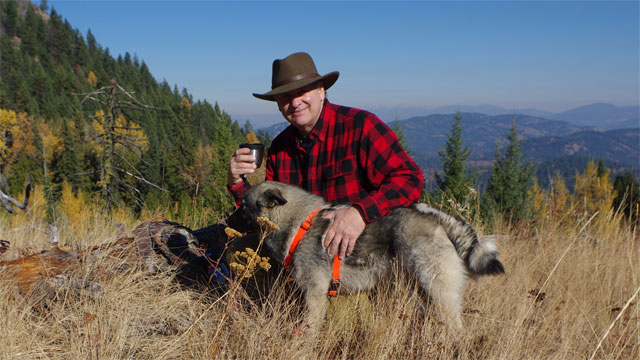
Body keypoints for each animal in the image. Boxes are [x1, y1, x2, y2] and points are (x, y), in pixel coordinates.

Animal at [226, 181, 504, 330]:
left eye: (242, 206)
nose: (226, 221)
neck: (298, 224)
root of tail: (436, 215)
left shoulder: (314, 294)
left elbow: (310, 327)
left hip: (437, 289)